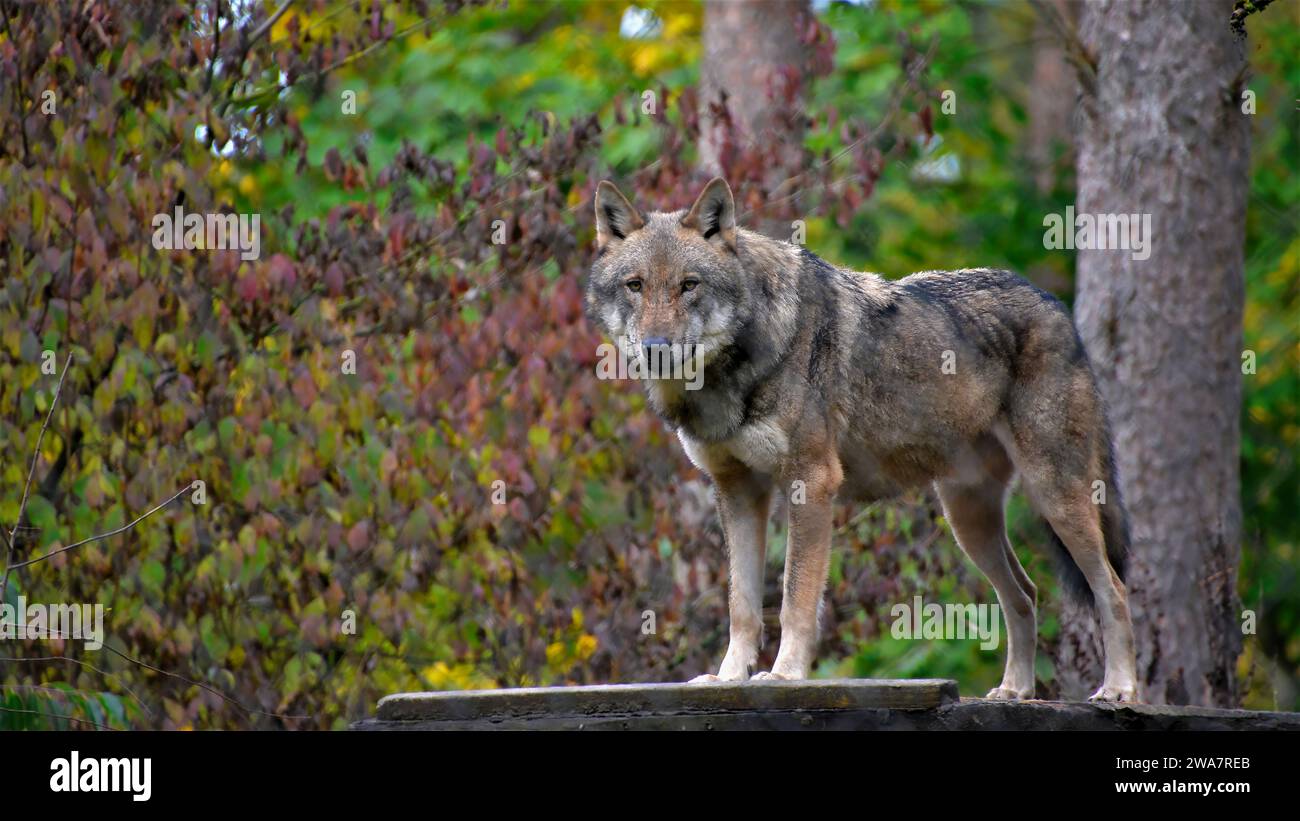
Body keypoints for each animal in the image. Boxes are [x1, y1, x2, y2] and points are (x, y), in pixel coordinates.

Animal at [586, 177, 1139, 702]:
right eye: (636, 285)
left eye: (689, 285)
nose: (656, 348)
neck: (737, 366)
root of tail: (1057, 307)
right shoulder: (737, 492)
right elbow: (741, 606)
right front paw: (727, 680)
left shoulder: (811, 483)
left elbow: (795, 599)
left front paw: (783, 676)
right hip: (968, 519)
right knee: (1024, 595)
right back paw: (1015, 691)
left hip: (1055, 496)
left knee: (1112, 589)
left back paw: (1120, 690)